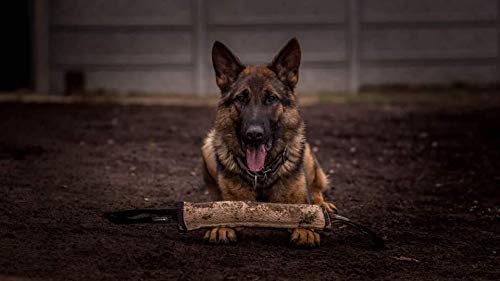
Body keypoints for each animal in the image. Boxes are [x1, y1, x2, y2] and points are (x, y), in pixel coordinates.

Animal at [200, 38, 336, 246]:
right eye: (241, 99)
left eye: (271, 98)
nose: (254, 135)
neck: (260, 174)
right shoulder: (233, 198)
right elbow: (223, 207)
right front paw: (221, 225)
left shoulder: (295, 198)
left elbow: (304, 207)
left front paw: (306, 229)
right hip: (208, 145)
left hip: (307, 157)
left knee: (316, 187)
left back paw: (322, 204)